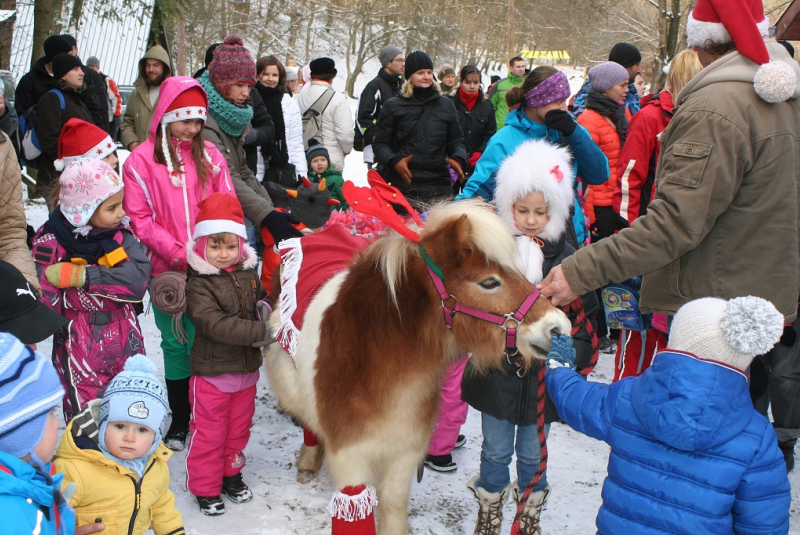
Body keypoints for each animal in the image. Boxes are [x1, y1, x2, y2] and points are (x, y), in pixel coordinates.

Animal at [266, 199, 572, 532]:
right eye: (490, 282)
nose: (558, 327)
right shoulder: (351, 459)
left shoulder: (403, 454)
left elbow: (393, 507)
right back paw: (308, 460)